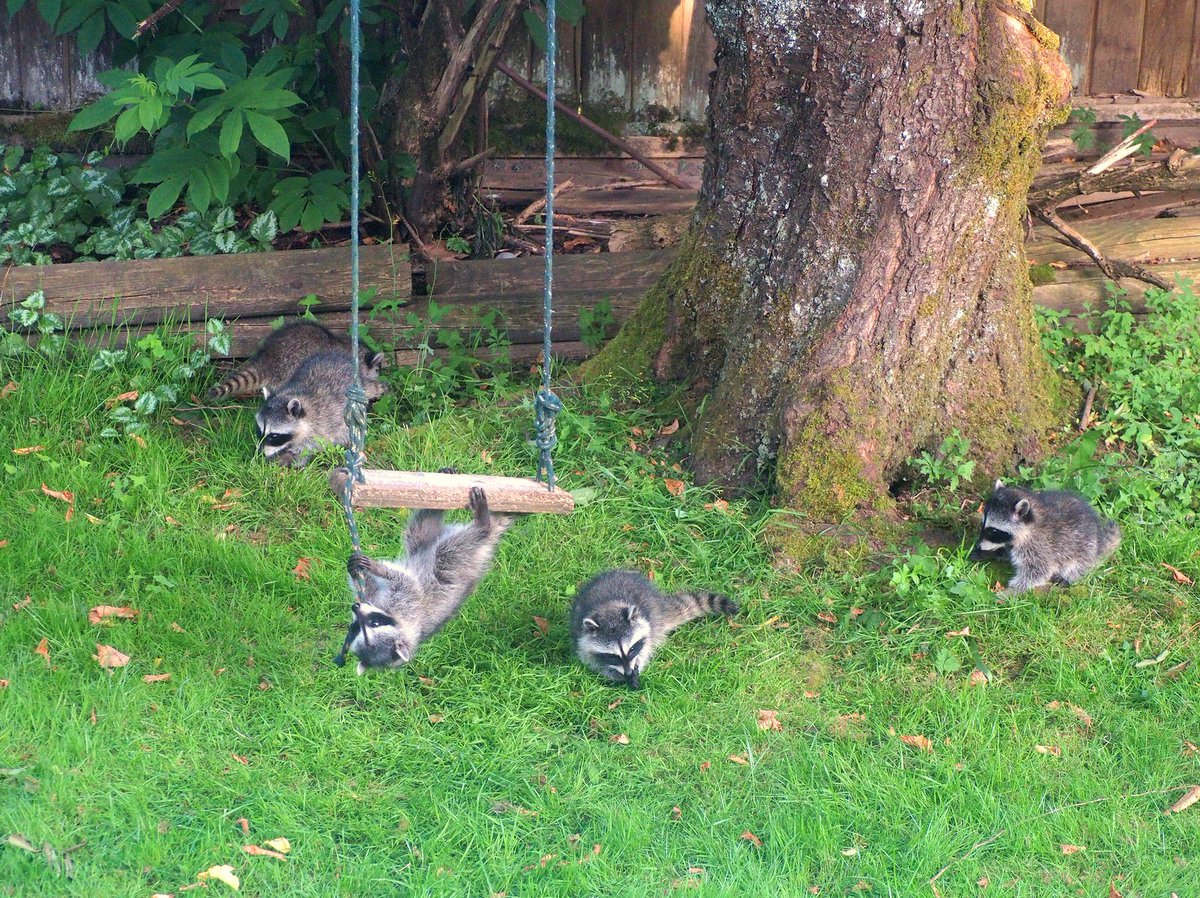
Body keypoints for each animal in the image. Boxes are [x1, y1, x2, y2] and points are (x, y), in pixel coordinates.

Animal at [256, 348, 384, 465]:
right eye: (259, 430)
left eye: (274, 435)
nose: (260, 453)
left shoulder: (321, 427)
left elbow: (307, 449)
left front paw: (293, 460)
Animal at [333, 485, 516, 672]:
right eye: (356, 629)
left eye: (374, 624)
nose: (355, 607)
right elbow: (391, 585)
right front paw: (362, 573)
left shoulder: (405, 605)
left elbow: (404, 582)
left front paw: (374, 569)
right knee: (430, 536)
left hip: (448, 560)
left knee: (439, 544)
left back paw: (479, 522)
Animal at [566, 571, 734, 691]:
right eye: (613, 656)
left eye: (632, 649)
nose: (628, 672)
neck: (608, 609)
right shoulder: (581, 637)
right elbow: (593, 662)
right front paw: (617, 675)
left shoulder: (647, 628)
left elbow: (646, 649)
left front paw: (637, 667)